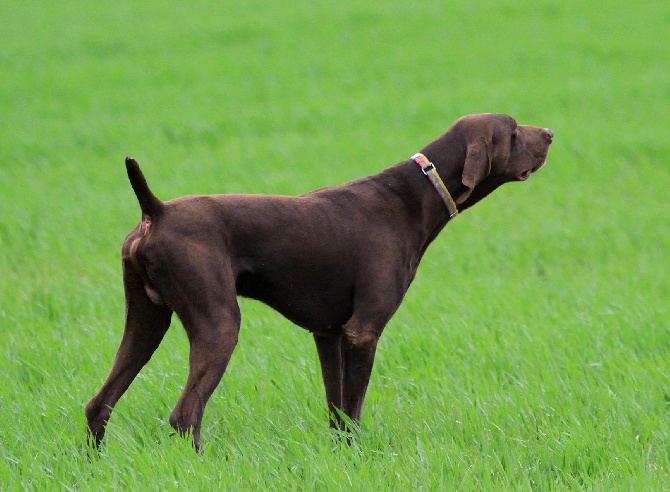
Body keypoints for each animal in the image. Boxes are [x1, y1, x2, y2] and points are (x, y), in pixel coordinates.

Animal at [86, 113, 552, 452]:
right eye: (513, 131)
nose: (549, 132)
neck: (412, 196)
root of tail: (157, 210)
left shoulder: (328, 335)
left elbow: (337, 413)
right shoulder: (363, 332)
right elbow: (355, 409)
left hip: (146, 323)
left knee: (98, 405)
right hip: (219, 324)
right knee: (185, 415)